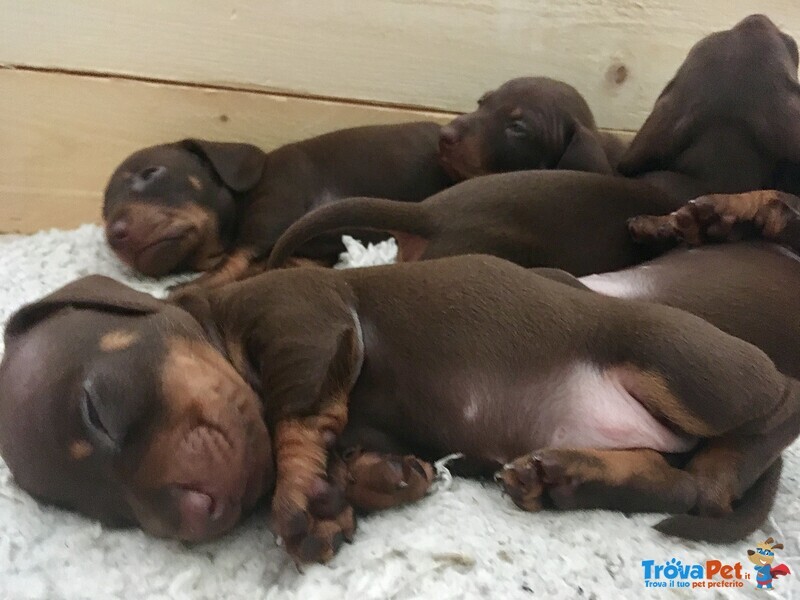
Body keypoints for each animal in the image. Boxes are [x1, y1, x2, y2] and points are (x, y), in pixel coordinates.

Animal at [3, 258, 796, 568]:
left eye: (97, 409)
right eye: (110, 515)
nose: (198, 517)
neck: (218, 320)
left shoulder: (309, 318)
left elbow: (295, 421)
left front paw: (299, 497)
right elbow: (348, 451)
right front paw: (383, 479)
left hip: (678, 363)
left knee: (766, 417)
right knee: (682, 479)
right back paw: (564, 475)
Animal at [105, 122, 454, 286]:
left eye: (151, 173)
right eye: (105, 211)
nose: (113, 236)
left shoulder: (270, 218)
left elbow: (229, 265)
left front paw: (178, 291)